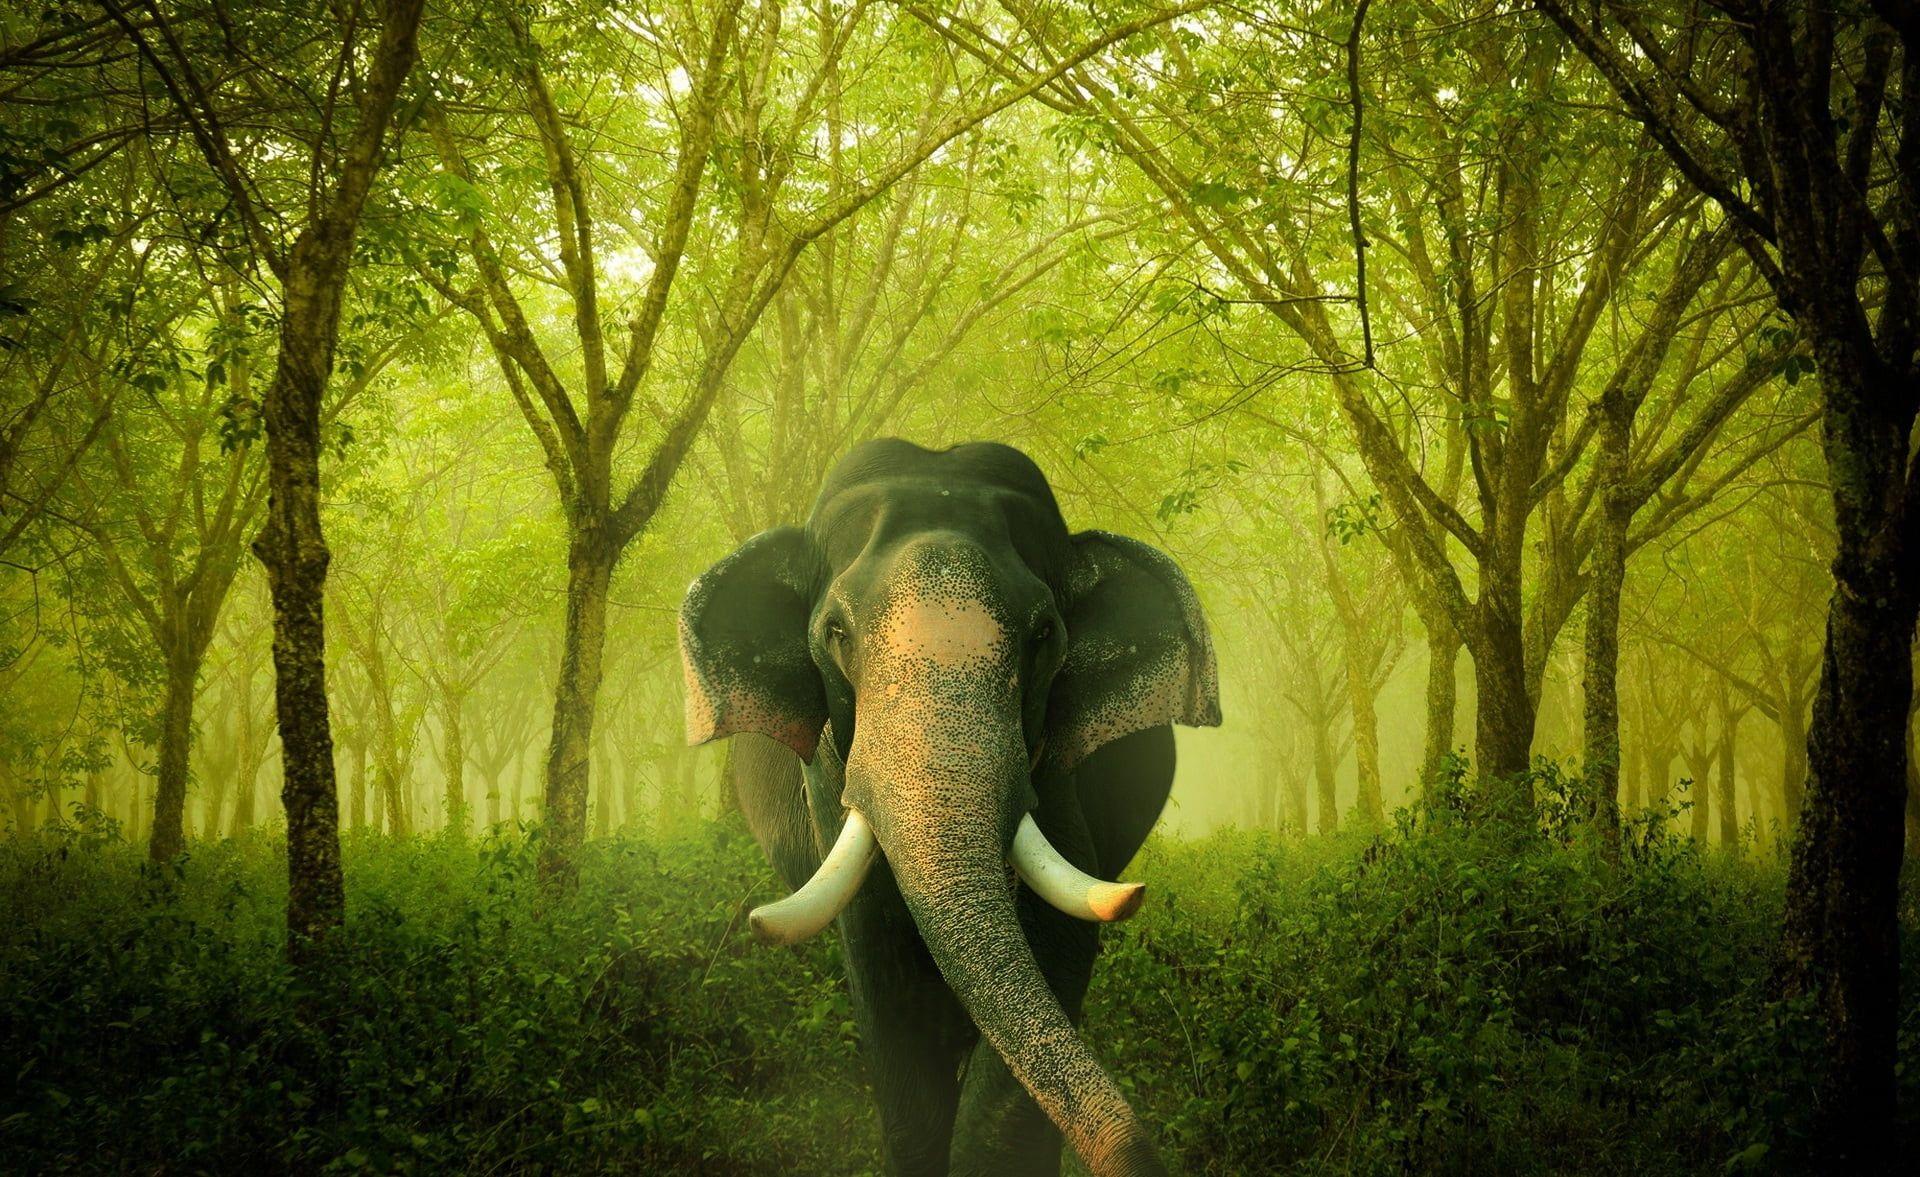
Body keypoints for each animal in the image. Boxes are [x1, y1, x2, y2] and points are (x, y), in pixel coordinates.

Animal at [678, 439, 1220, 1176]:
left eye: (1045, 632)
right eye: (836, 630)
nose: (1143, 1156)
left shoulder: (1057, 767)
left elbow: (1057, 936)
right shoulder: (828, 774)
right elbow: (880, 959)